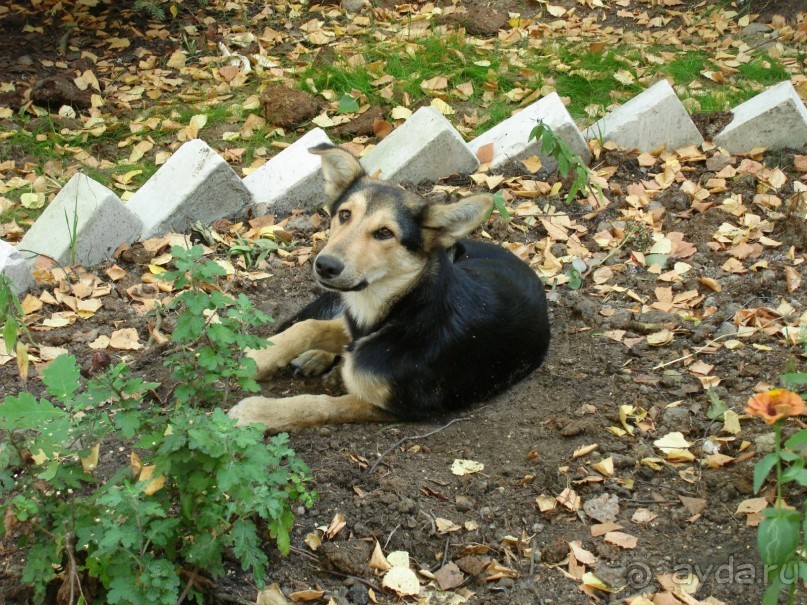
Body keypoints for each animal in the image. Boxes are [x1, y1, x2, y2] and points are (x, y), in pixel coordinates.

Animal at [230, 144, 552, 432]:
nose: (325, 265)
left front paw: (258, 413)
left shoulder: (399, 406)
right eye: (344, 214)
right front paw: (261, 356)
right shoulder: (355, 326)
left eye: (385, 233)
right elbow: (307, 327)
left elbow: (318, 404)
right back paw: (316, 356)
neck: (404, 309)